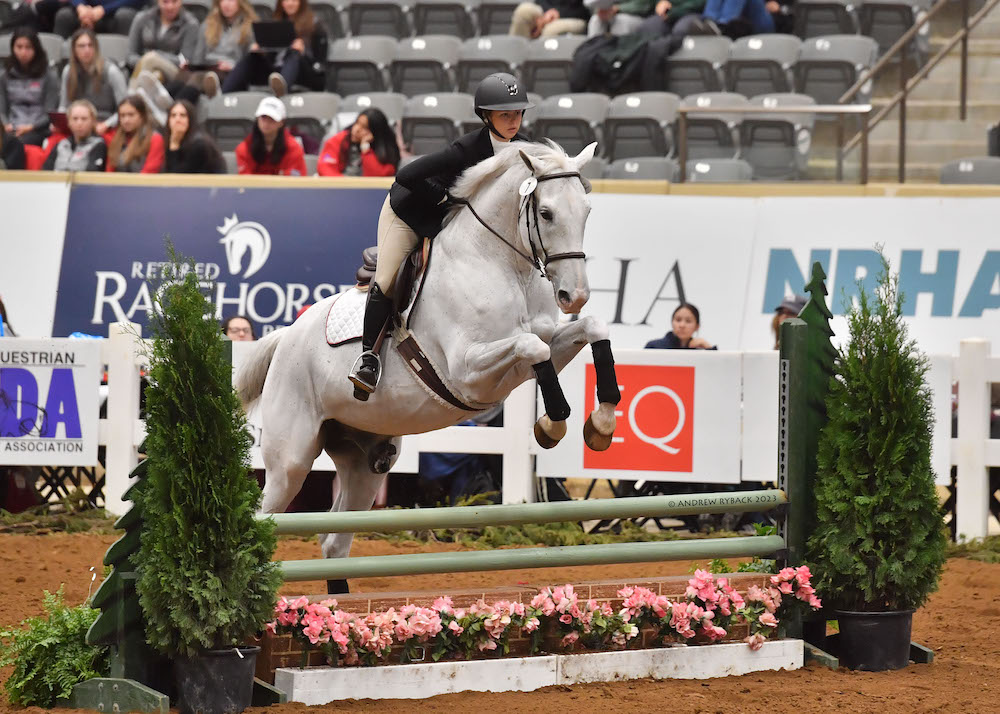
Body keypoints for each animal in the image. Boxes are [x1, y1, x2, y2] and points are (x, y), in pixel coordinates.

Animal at [237, 140, 620, 588]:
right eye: (546, 213)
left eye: (587, 211)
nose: (574, 296)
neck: (503, 265)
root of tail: (286, 337)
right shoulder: (469, 373)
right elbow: (532, 348)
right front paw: (551, 425)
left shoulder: (530, 355)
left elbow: (589, 330)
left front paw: (600, 424)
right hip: (291, 459)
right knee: (264, 519)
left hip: (365, 464)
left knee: (334, 542)